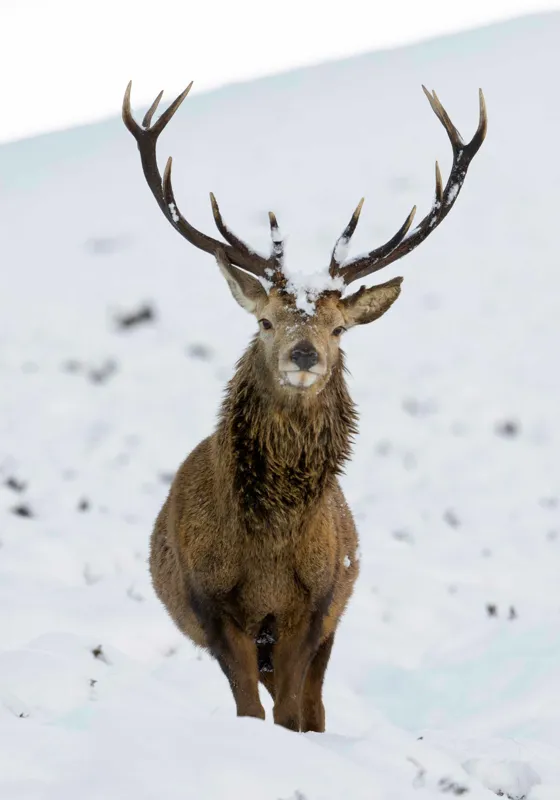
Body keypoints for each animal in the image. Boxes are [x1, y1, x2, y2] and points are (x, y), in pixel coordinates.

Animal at [122, 81, 487, 732]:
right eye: (265, 320)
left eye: (339, 328)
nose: (304, 353)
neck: (269, 549)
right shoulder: (213, 604)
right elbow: (249, 706)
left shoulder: (314, 605)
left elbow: (293, 709)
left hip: (335, 615)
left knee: (316, 703)